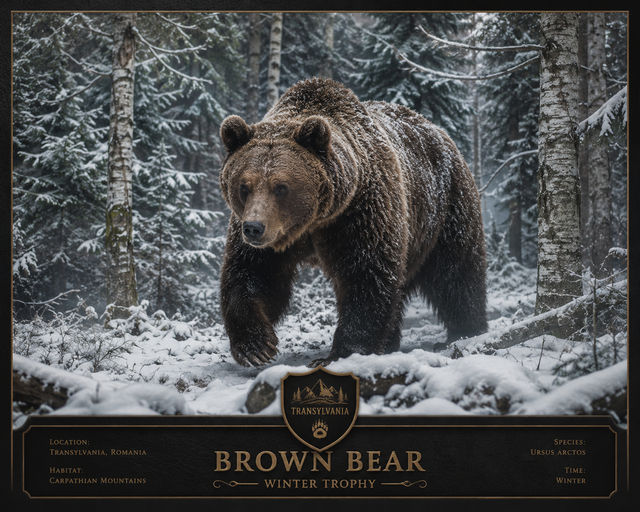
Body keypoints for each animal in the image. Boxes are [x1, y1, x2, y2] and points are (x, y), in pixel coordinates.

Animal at [218, 78, 487, 367]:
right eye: (244, 186)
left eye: (281, 187)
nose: (254, 228)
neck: (314, 221)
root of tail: (440, 132)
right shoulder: (270, 236)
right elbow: (253, 274)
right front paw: (256, 346)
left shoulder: (358, 212)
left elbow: (367, 274)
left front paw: (341, 352)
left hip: (446, 208)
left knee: (456, 273)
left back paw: (466, 331)